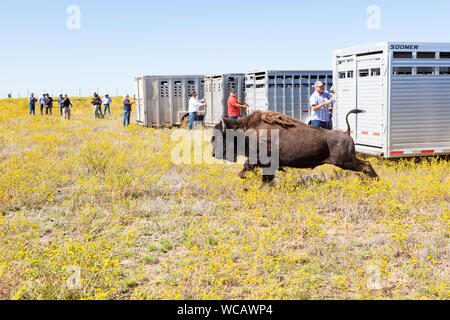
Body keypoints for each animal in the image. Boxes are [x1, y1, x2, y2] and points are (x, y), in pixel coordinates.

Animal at [211, 110, 376, 184]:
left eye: (220, 137)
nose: (213, 154)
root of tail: (346, 133)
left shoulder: (261, 160)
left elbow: (247, 166)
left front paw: (243, 177)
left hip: (345, 161)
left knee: (366, 164)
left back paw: (374, 180)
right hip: (347, 161)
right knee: (366, 164)